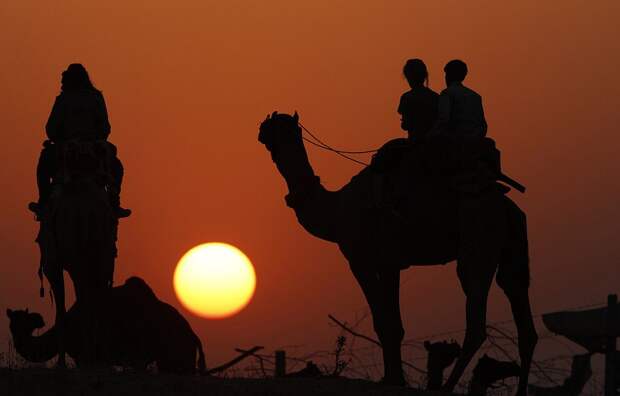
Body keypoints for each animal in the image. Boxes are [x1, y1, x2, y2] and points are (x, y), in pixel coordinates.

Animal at [6, 276, 205, 372]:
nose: (38, 318)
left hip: (176, 356)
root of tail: (193, 335)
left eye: (22, 319)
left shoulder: (85, 356)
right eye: (13, 319)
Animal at [36, 140, 118, 368]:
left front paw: (62, 363)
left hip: (76, 255)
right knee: (97, 296)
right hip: (101, 253)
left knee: (84, 296)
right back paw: (97, 359)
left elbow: (61, 307)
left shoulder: (53, 263)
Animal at [256, 113, 536, 394]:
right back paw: (520, 389)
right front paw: (394, 378)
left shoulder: (363, 259)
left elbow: (384, 322)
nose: (261, 132)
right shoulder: (390, 262)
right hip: (512, 243)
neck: (337, 211)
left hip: (478, 238)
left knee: (476, 316)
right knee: (521, 310)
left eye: (272, 127)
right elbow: (394, 324)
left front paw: (393, 378)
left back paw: (446, 387)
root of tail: (506, 205)